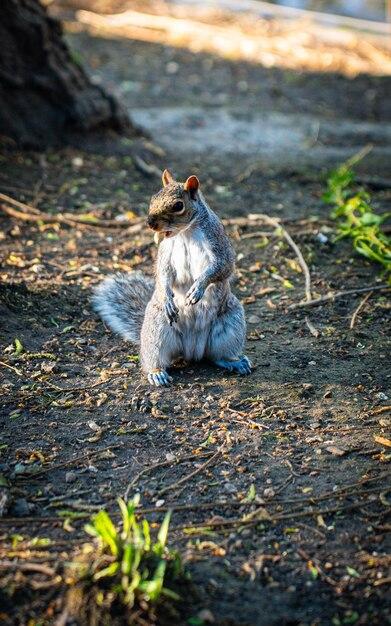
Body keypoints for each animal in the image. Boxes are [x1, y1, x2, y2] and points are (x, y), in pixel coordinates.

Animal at [92, 167, 251, 386]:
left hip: (230, 326)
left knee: (217, 356)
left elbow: (223, 268)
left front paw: (197, 289)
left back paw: (235, 362)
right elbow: (163, 275)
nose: (150, 223)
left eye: (178, 206)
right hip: (157, 330)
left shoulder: (218, 244)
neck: (185, 232)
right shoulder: (165, 253)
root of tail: (193, 350)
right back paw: (156, 372)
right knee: (156, 358)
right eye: (153, 198)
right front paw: (168, 298)